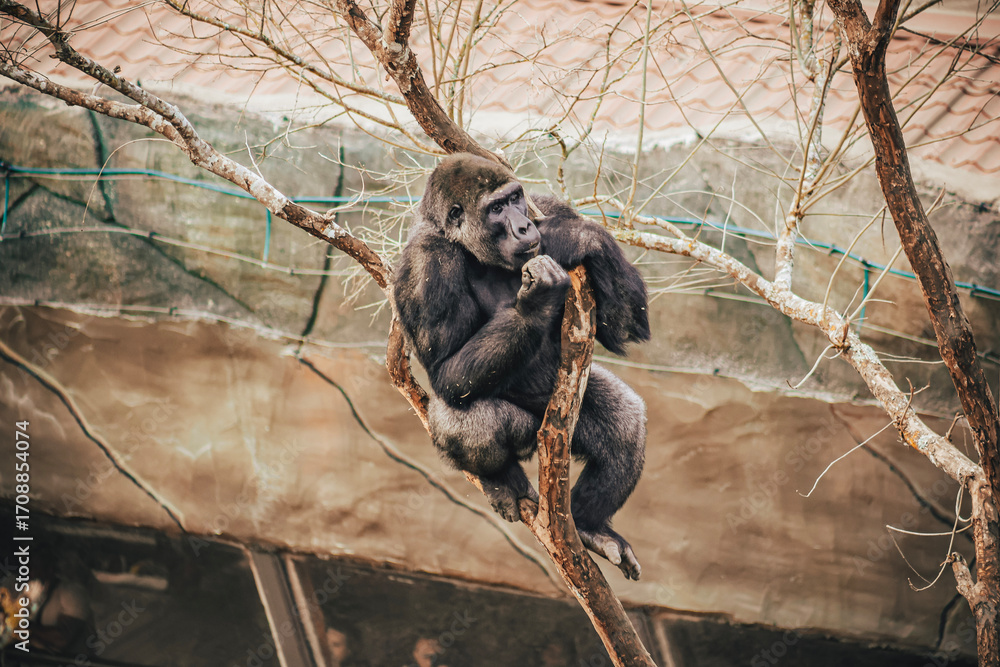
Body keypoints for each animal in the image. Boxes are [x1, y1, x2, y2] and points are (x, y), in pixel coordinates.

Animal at [391, 153, 649, 579]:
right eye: (496, 209)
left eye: (514, 199)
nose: (524, 226)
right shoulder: (425, 262)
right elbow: (447, 371)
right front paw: (539, 296)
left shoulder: (543, 204)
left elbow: (622, 327)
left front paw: (576, 235)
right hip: (528, 429)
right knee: (465, 420)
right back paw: (501, 480)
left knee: (624, 427)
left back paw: (591, 527)